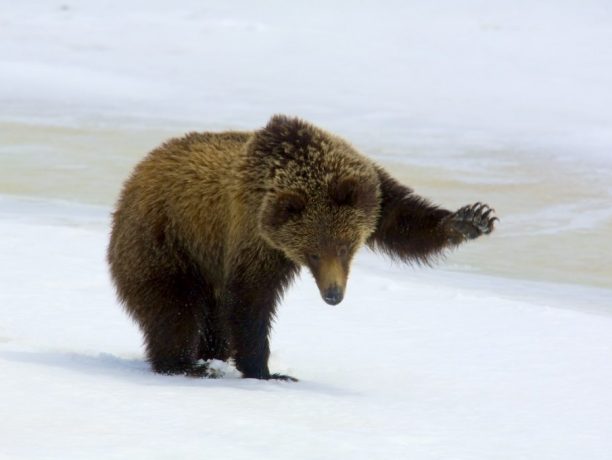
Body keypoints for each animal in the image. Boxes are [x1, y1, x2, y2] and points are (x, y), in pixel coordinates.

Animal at [107, 115, 494, 380]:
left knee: (211, 320)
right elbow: (250, 300)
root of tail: (133, 178)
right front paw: (266, 371)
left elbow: (405, 222)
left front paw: (471, 219)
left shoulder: (372, 191)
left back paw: (209, 358)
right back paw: (186, 364)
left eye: (345, 247)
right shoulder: (253, 236)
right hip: (168, 242)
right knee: (174, 308)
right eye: (312, 254)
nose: (333, 295)